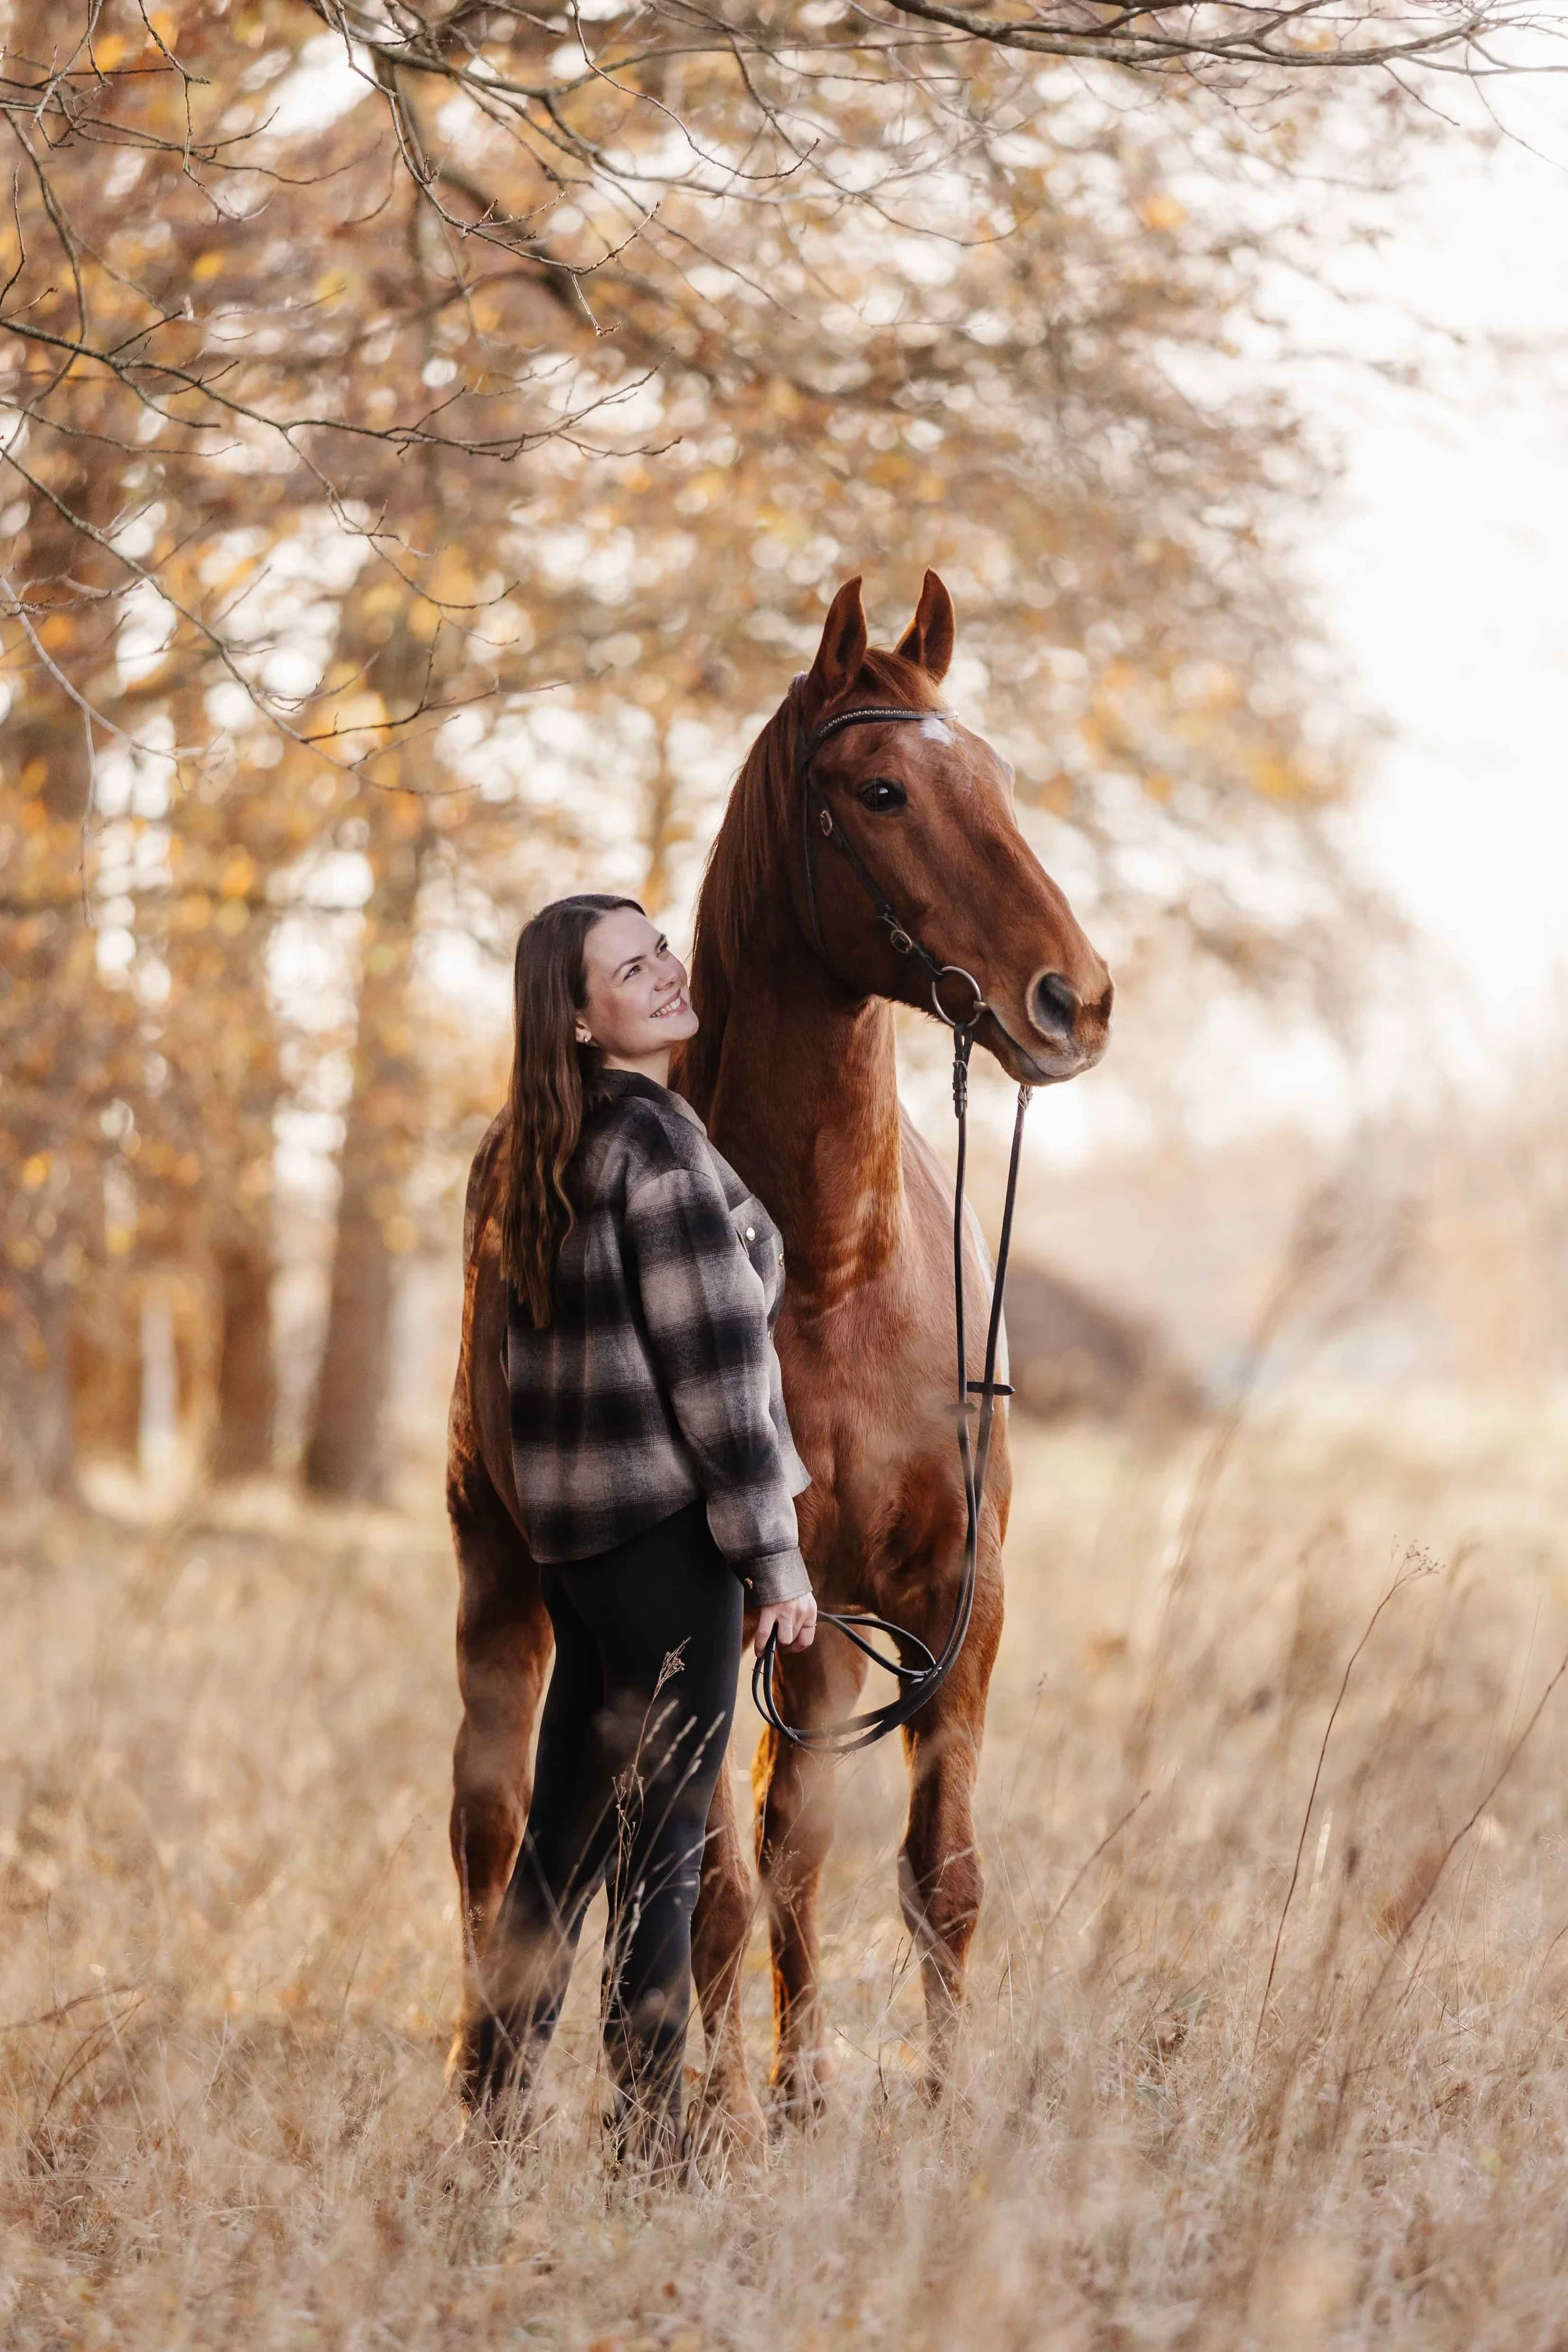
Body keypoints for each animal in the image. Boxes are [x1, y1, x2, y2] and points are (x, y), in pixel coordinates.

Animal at [445, 571, 1112, 2154]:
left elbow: (935, 1876)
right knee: (496, 1831)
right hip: (504, 1581)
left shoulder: (952, 1606)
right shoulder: (736, 1605)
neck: (833, 1267)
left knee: (784, 1835)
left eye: (998, 775)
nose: (1073, 1000)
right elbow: (714, 1897)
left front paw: (938, 2114)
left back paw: (797, 2093)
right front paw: (726, 2130)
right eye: (879, 791)